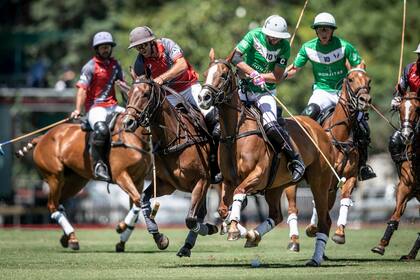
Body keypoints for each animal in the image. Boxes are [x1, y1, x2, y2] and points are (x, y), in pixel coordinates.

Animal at [121, 72, 220, 258]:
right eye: (128, 94)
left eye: (146, 94)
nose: (127, 122)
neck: (173, 139)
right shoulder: (166, 185)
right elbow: (143, 200)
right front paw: (160, 238)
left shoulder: (202, 181)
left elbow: (190, 219)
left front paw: (211, 228)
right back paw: (187, 245)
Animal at [199, 50, 336, 266]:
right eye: (206, 74)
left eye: (223, 75)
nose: (203, 98)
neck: (235, 132)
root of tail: (319, 130)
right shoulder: (228, 180)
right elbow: (222, 209)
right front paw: (237, 229)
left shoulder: (257, 174)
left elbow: (239, 193)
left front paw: (234, 229)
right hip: (276, 186)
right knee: (276, 215)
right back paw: (253, 235)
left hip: (319, 182)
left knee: (325, 219)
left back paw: (315, 258)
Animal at [304, 66, 372, 244]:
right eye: (351, 79)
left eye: (369, 81)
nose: (365, 100)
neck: (340, 135)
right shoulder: (324, 177)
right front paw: (313, 227)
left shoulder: (350, 176)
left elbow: (345, 199)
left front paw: (340, 233)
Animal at [370, 92, 420, 260]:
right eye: (400, 109)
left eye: (418, 109)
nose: (406, 135)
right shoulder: (405, 186)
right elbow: (395, 215)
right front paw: (380, 245)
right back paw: (410, 255)